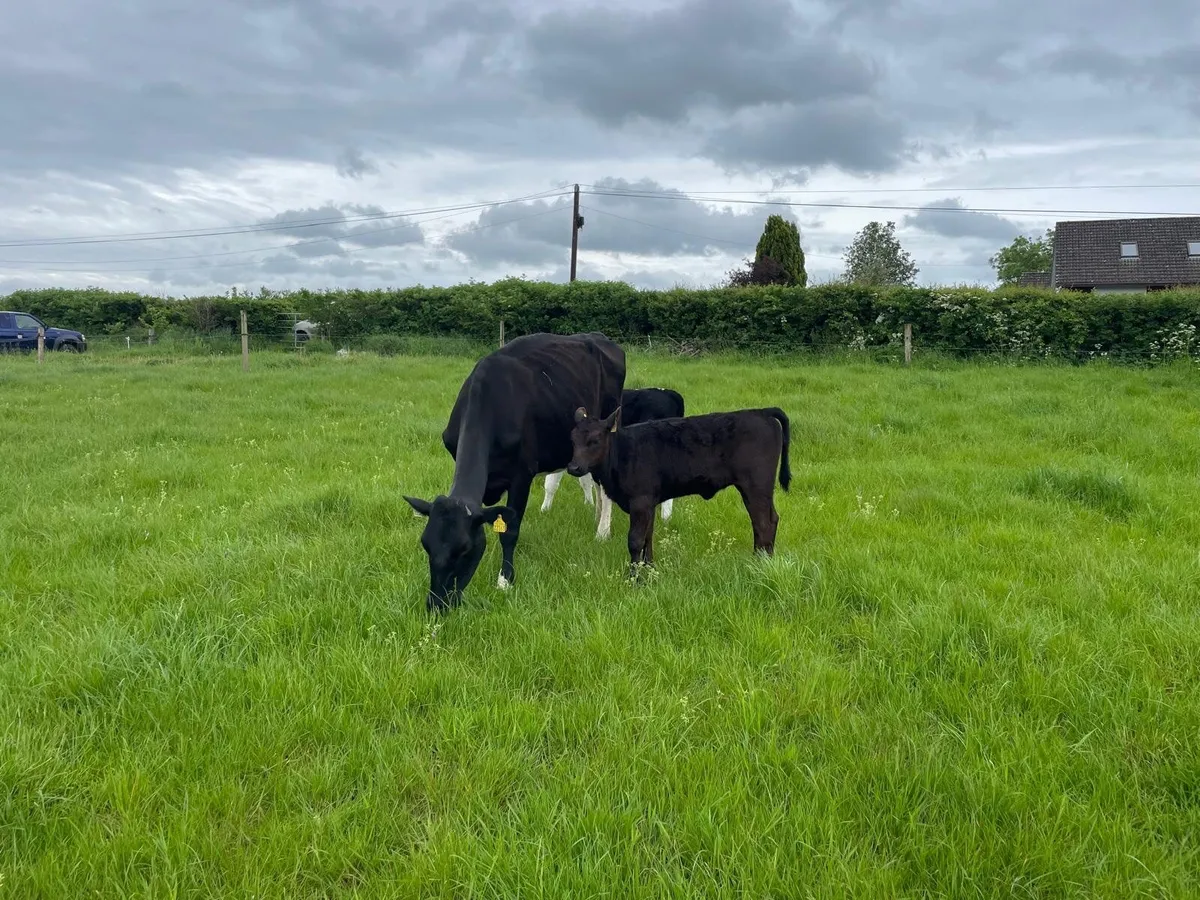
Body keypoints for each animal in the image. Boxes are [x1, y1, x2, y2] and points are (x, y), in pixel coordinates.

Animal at [404, 332, 626, 612]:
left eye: (464, 549)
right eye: (426, 544)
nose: (437, 604)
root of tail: (598, 337)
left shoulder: (522, 475)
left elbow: (509, 530)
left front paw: (505, 580)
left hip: (609, 426)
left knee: (605, 484)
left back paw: (602, 531)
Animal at [540, 386, 686, 535]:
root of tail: (669, 392)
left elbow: (551, 483)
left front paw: (544, 510)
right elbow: (586, 481)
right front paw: (589, 505)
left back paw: (665, 518)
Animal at [567, 405, 790, 579]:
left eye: (595, 440)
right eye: (573, 440)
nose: (573, 467)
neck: (622, 452)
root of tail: (761, 412)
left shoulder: (640, 501)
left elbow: (635, 540)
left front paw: (634, 578)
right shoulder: (649, 503)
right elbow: (648, 537)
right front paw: (650, 570)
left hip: (756, 486)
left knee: (764, 522)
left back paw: (760, 563)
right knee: (767, 519)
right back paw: (762, 560)